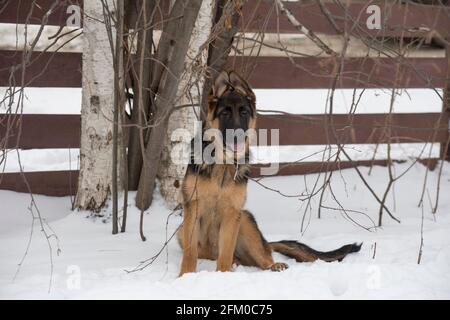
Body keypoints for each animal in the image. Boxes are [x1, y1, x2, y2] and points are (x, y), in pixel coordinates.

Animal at [178, 71, 360, 276]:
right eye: (225, 113)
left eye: (244, 112)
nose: (238, 135)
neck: (223, 163)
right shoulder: (193, 208)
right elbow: (190, 252)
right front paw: (185, 277)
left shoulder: (233, 213)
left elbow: (225, 254)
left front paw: (223, 275)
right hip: (182, 231)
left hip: (245, 221)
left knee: (260, 257)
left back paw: (271, 265)